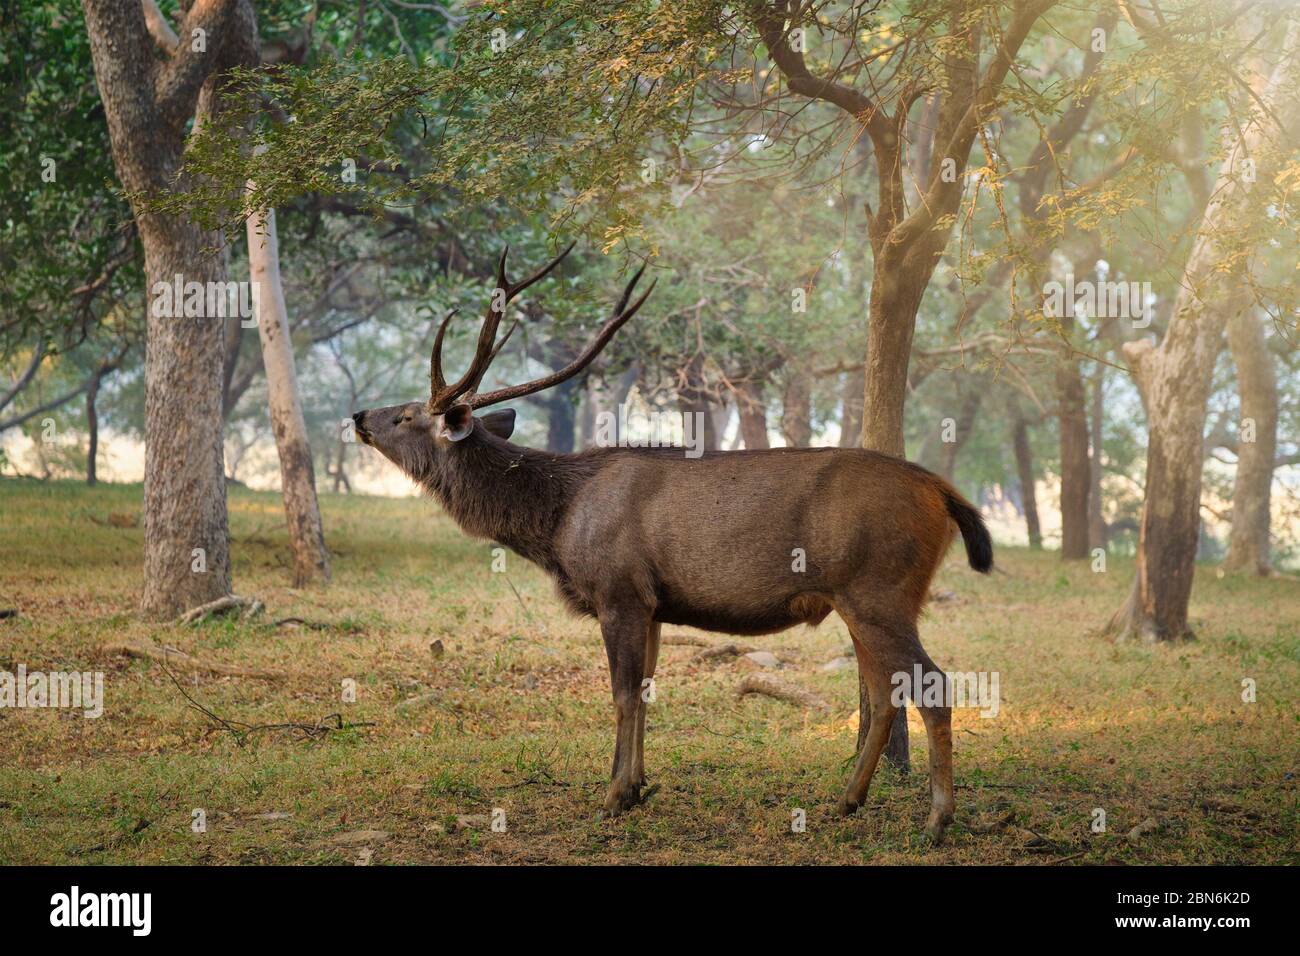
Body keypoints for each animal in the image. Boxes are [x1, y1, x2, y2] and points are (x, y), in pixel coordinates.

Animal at [351, 244, 987, 842]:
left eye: (406, 415)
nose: (359, 415)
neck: (558, 521)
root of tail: (943, 492)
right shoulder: (653, 604)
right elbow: (647, 691)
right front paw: (635, 786)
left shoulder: (619, 591)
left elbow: (623, 694)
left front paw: (612, 797)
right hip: (856, 601)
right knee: (882, 696)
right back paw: (846, 800)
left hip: (880, 589)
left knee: (934, 686)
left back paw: (936, 820)